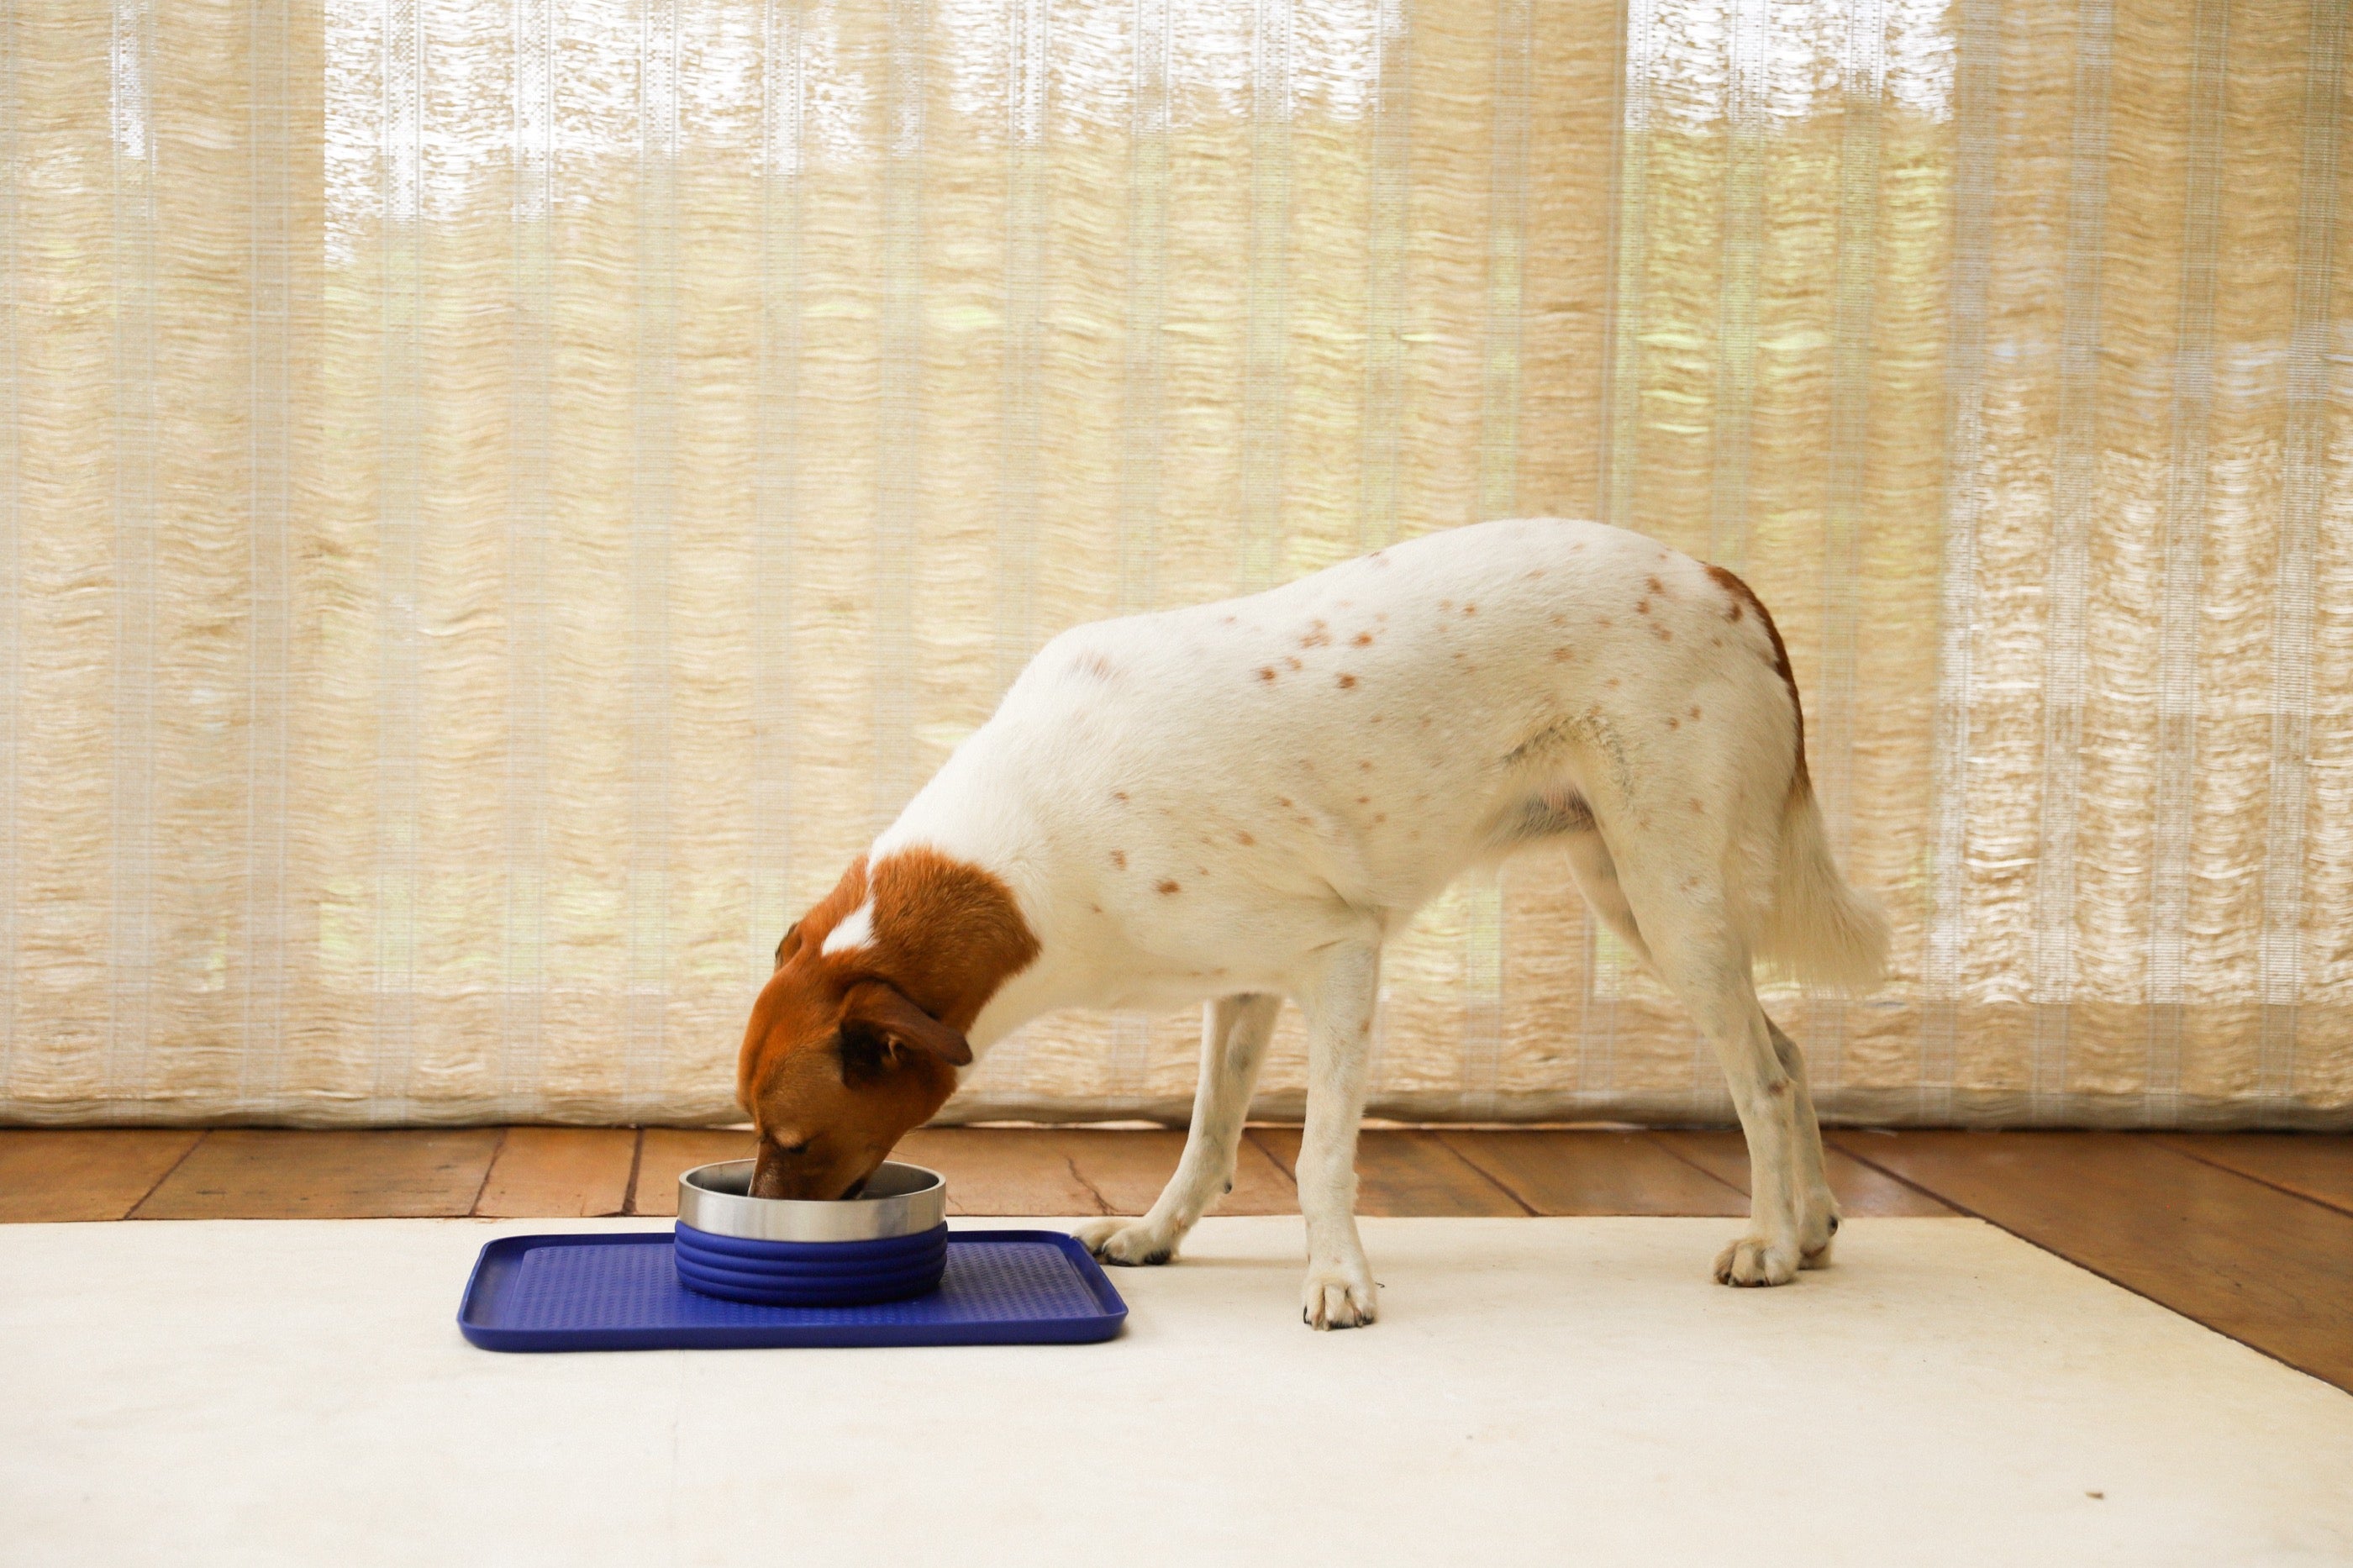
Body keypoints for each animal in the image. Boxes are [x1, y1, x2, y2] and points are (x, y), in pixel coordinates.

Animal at [734, 518, 1892, 1328]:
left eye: (790, 1140)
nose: (766, 1222)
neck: (1035, 838)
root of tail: (1720, 577)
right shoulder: (1242, 988)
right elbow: (1208, 1137)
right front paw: (1155, 1236)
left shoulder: (1340, 957)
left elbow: (1322, 1155)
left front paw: (1338, 1278)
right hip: (1633, 897)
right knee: (1784, 1048)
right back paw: (1813, 1229)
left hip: (1670, 895)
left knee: (1761, 1078)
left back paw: (1766, 1244)